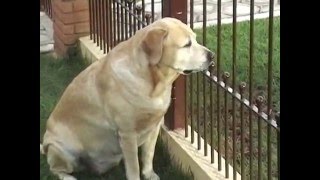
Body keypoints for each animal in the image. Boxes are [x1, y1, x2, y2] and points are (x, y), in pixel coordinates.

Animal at [40, 17, 215, 180]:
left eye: (195, 39)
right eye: (187, 44)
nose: (212, 56)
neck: (153, 84)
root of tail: (45, 145)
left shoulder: (154, 127)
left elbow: (148, 155)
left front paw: (149, 174)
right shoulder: (128, 133)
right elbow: (134, 167)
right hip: (61, 149)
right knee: (56, 169)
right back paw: (68, 176)